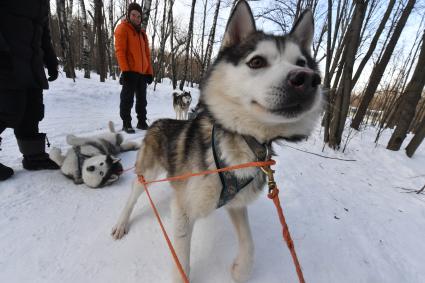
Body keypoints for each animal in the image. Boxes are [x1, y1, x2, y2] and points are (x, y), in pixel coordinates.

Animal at [111, 1, 320, 282]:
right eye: (256, 61)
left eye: (302, 62)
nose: (307, 78)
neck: (241, 141)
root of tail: (157, 123)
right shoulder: (184, 212)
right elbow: (182, 264)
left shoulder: (235, 203)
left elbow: (249, 242)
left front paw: (241, 270)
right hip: (148, 171)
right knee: (134, 192)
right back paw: (121, 223)